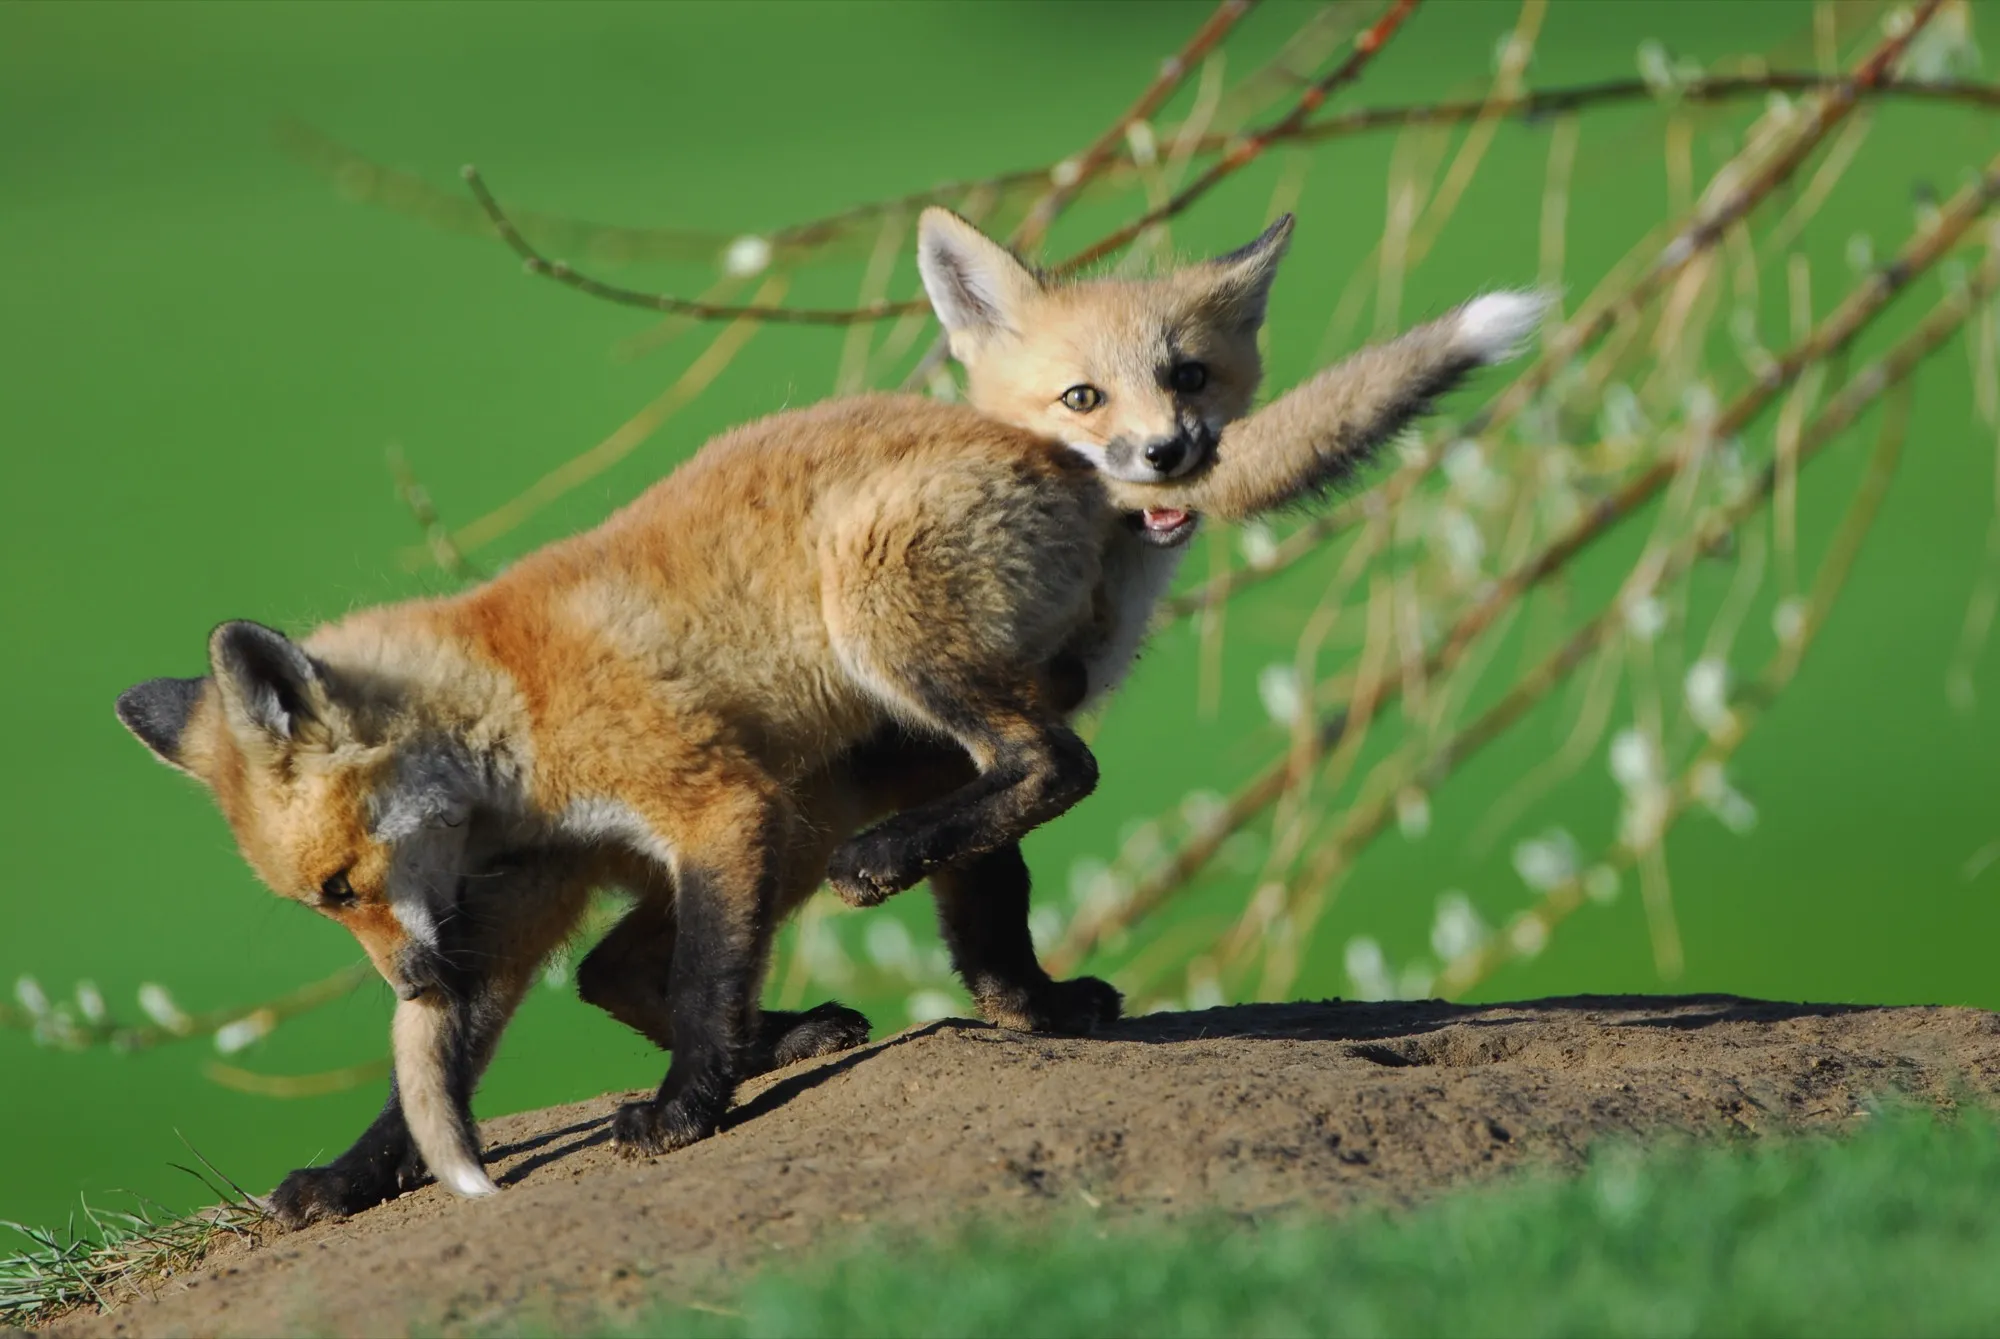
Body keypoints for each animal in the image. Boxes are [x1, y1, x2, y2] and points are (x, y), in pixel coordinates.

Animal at [114, 206, 1544, 1226]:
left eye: (343, 883)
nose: (406, 978)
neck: (506, 727)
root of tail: (1059, 464)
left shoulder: (711, 810)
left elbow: (700, 987)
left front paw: (684, 1108)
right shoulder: (521, 896)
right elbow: (446, 1075)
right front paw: (352, 1177)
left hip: (865, 664)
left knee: (1049, 765)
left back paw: (883, 936)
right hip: (830, 794)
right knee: (690, 947)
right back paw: (945, 1012)